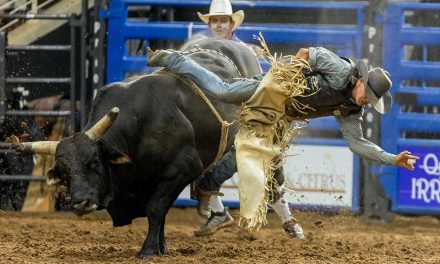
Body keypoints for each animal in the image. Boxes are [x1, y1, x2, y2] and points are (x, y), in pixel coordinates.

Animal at [14, 39, 262, 258]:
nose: (80, 203)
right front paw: (162, 247)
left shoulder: (183, 169)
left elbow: (155, 209)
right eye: (65, 173)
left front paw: (149, 250)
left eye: (94, 162)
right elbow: (161, 214)